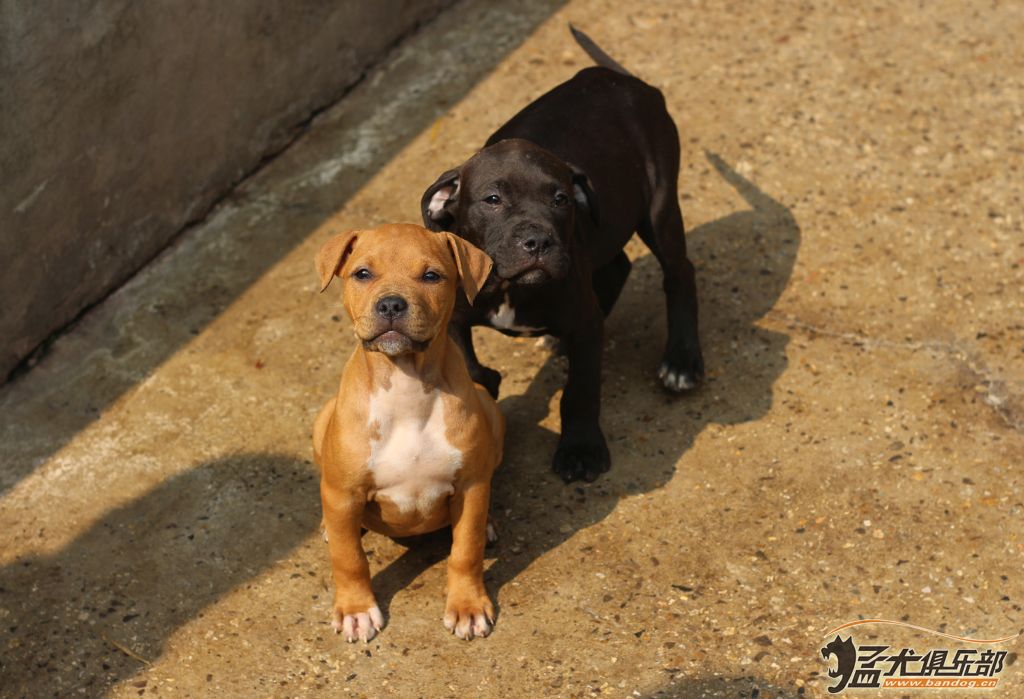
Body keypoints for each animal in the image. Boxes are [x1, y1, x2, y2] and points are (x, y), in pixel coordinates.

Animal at [311, 225, 503, 646]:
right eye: (363, 273)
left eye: (431, 276)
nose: (391, 305)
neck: (406, 384)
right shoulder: (343, 491)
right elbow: (349, 559)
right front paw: (356, 610)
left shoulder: (470, 485)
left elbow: (466, 549)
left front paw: (467, 606)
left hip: (491, 411)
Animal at [419, 25, 700, 481]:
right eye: (492, 199)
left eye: (561, 199)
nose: (538, 241)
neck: (509, 288)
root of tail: (619, 79)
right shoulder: (455, 316)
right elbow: (469, 366)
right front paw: (485, 384)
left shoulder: (584, 326)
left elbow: (580, 391)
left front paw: (581, 449)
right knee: (617, 266)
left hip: (657, 205)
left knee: (679, 272)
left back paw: (682, 362)